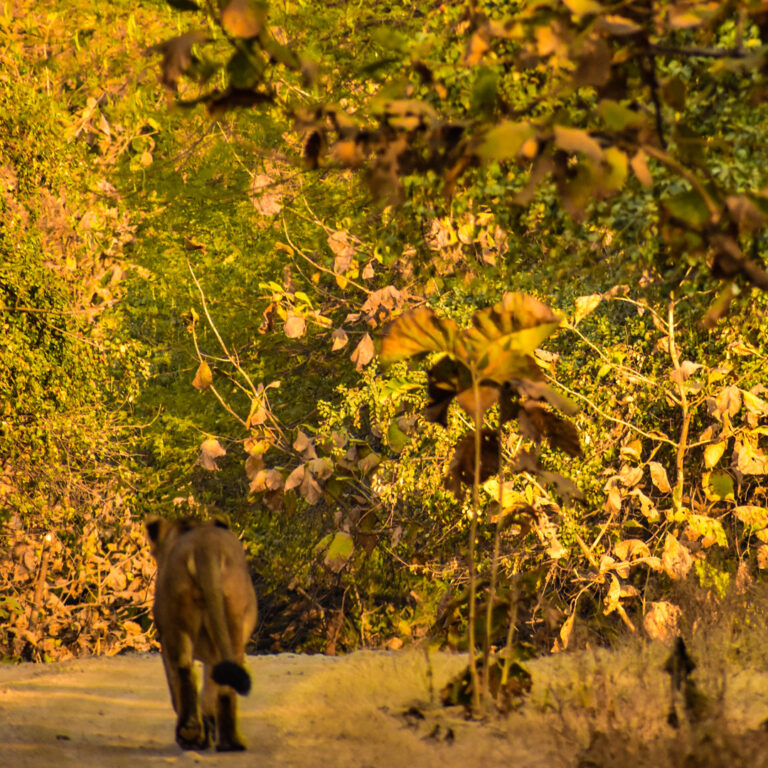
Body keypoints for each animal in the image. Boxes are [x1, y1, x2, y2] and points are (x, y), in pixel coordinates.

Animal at [145, 516, 258, 752]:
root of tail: (203, 549)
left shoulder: (165, 641)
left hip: (178, 623)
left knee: (184, 671)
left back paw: (192, 734)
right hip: (230, 621)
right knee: (222, 682)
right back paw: (228, 742)